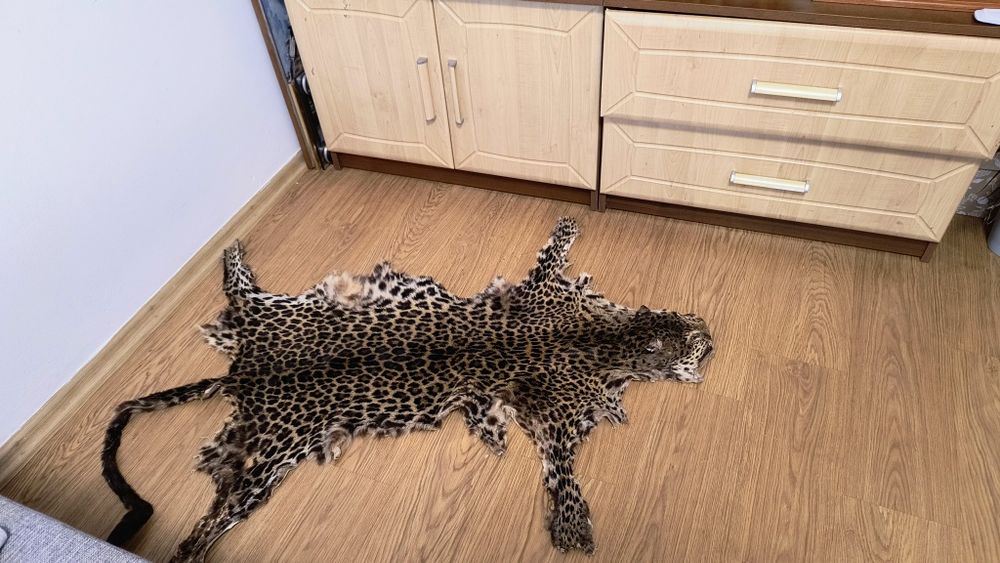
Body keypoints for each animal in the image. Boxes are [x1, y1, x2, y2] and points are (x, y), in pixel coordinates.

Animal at [101, 217, 715, 562]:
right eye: (699, 344)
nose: (714, 336)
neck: (612, 338)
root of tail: (245, 368)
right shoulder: (554, 418)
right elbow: (562, 475)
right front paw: (574, 528)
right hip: (272, 455)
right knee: (213, 518)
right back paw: (191, 550)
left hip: (272, 327)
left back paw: (232, 252)